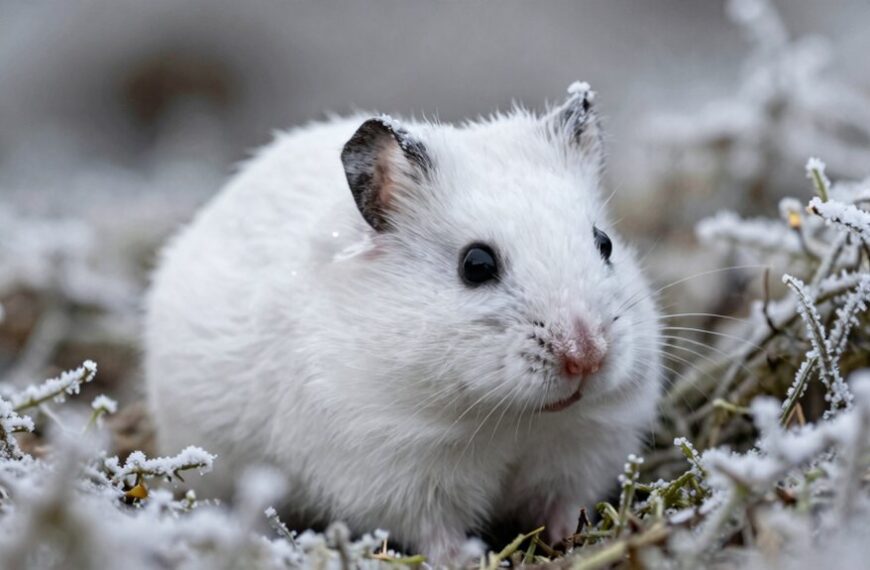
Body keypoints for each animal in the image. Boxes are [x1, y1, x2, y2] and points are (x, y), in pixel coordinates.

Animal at [144, 82, 662, 564]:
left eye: (604, 244)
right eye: (476, 264)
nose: (587, 357)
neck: (514, 420)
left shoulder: (584, 449)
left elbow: (565, 505)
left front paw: (572, 539)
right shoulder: (395, 470)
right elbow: (436, 533)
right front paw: (465, 560)